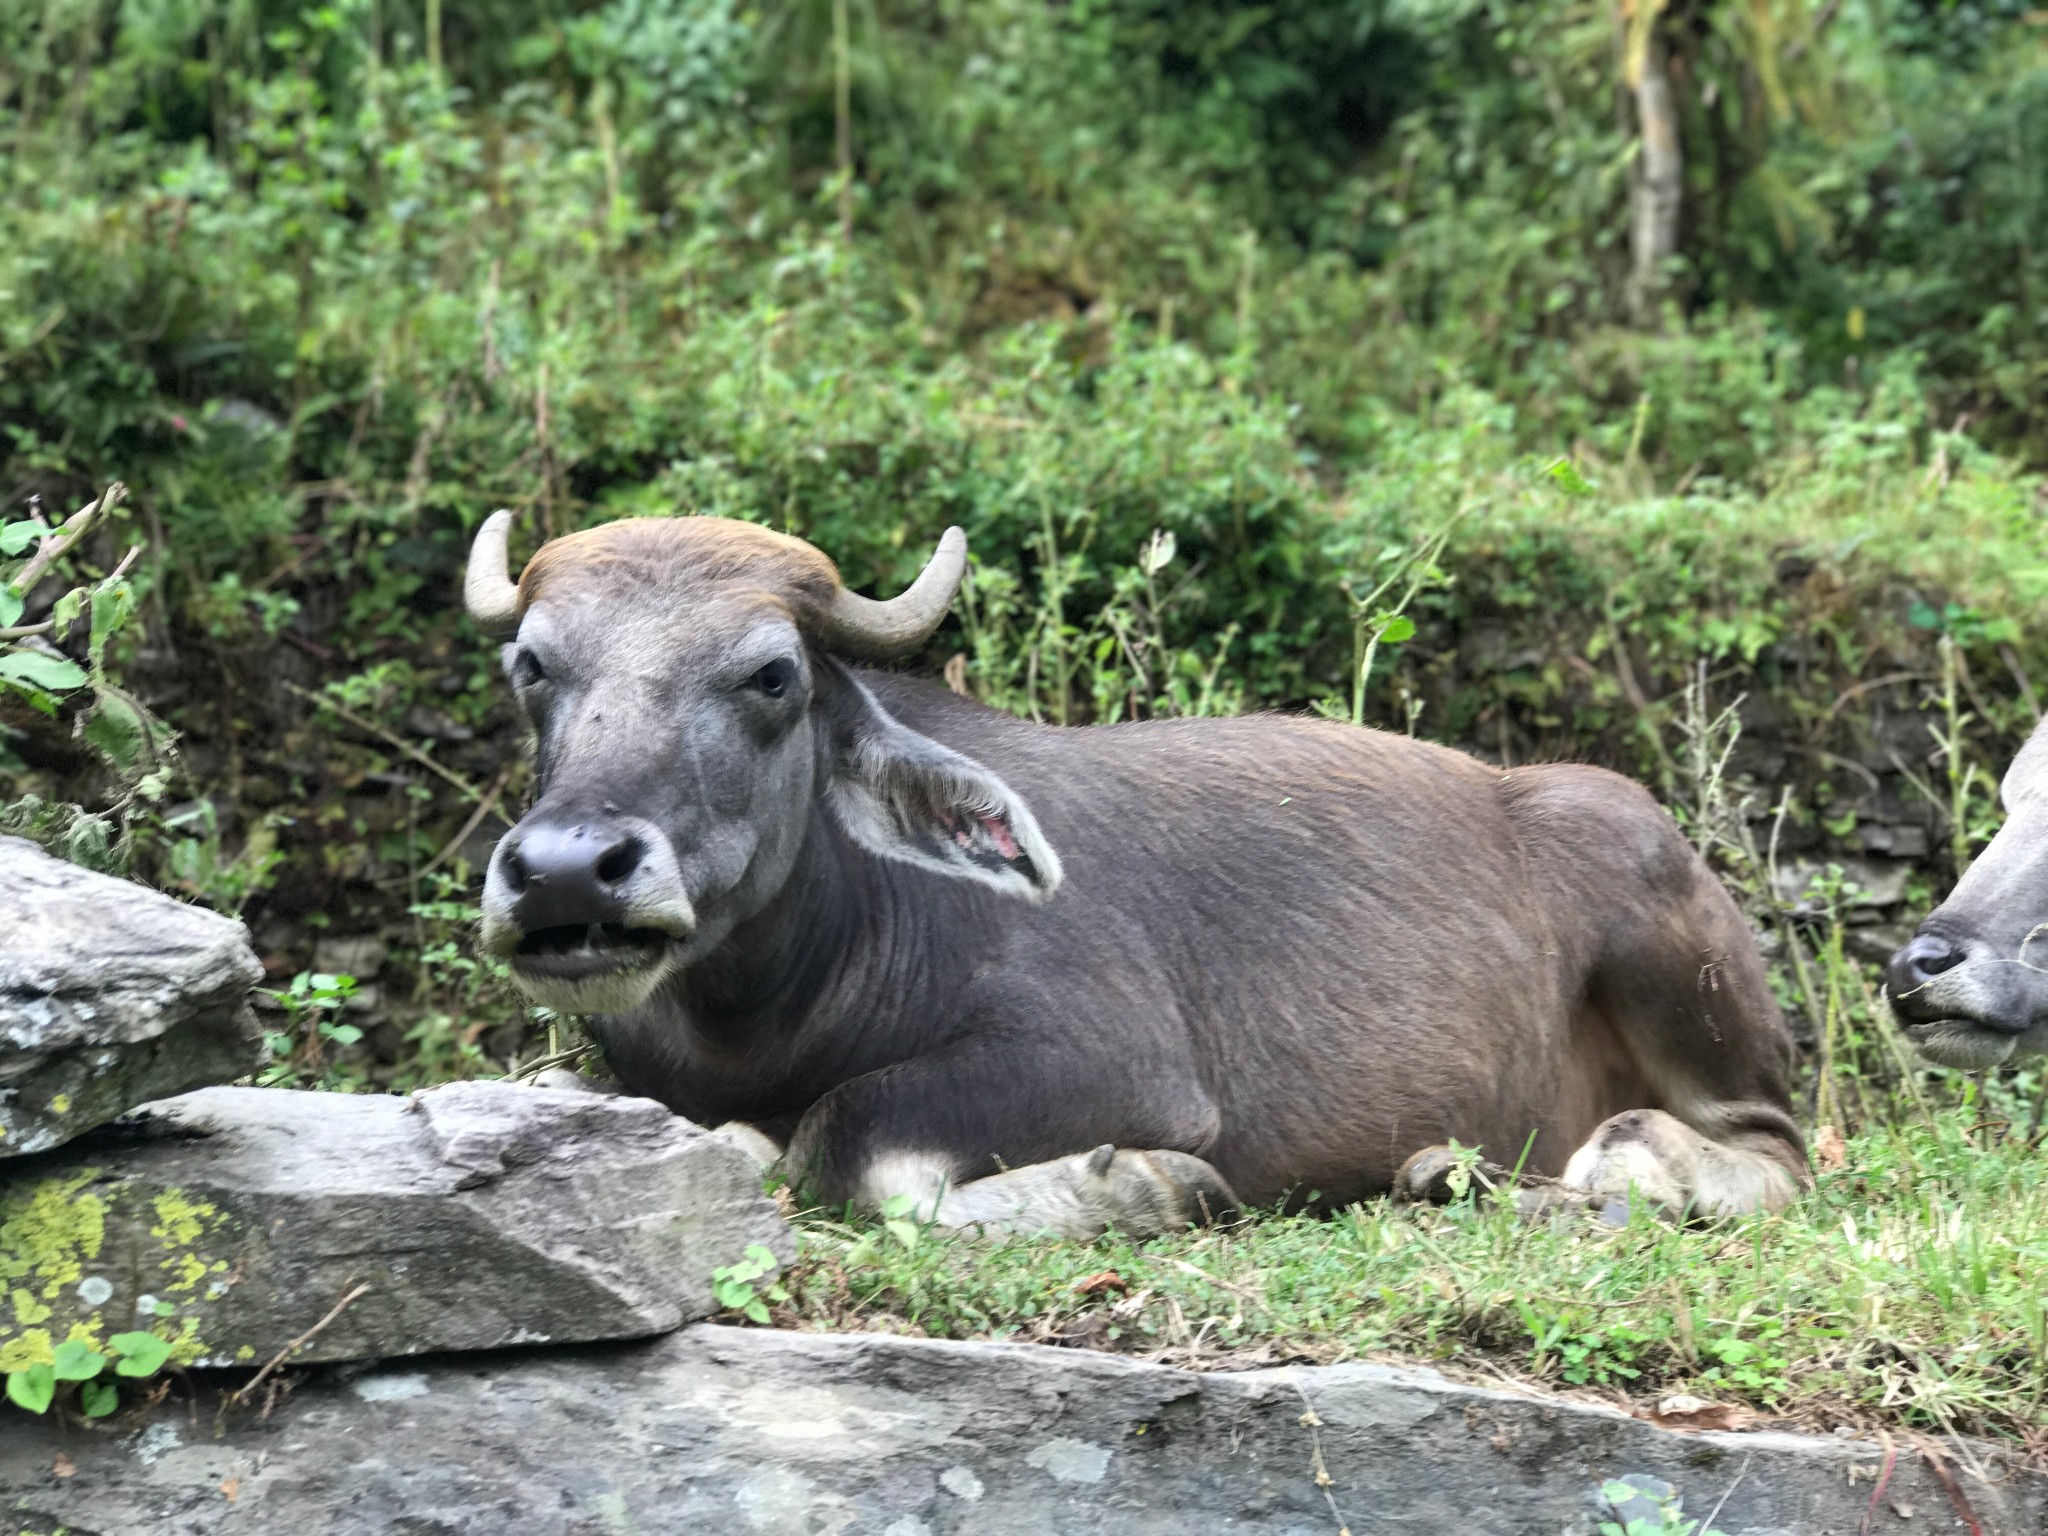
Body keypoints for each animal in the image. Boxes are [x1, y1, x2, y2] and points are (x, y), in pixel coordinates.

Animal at [464, 518, 1810, 1236]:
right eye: (532, 664)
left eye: (770, 674)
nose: (572, 872)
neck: (768, 1012)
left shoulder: (1116, 1064)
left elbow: (850, 1140)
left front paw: (1142, 1187)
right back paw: (1453, 1176)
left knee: (1774, 1149)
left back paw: (1628, 1162)